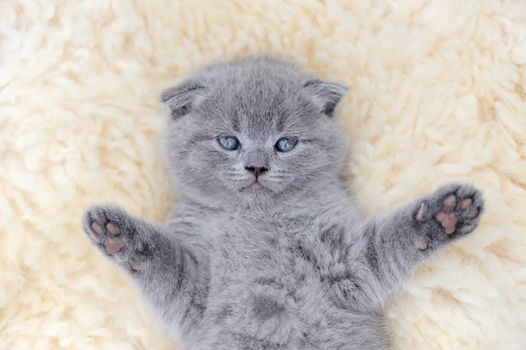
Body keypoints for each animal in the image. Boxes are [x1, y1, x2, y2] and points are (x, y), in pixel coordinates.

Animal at [83, 56, 486, 348]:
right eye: (229, 141)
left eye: (285, 144)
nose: (257, 167)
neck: (257, 221)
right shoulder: (196, 289)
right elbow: (166, 263)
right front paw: (117, 234)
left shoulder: (344, 259)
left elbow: (384, 244)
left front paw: (446, 214)